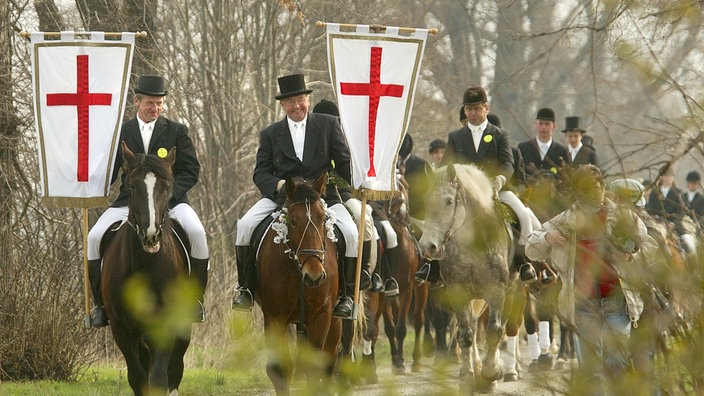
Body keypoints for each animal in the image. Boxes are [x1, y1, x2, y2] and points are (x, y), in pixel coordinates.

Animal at [99, 143, 192, 396]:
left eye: (166, 187)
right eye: (132, 186)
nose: (150, 235)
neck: (145, 265)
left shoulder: (165, 324)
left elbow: (160, 378)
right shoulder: (121, 328)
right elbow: (138, 378)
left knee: (175, 368)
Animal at [256, 172, 344, 394]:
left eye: (322, 219)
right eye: (294, 221)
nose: (314, 276)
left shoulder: (320, 315)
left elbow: (315, 367)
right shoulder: (275, 317)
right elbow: (280, 370)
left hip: (334, 319)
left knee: (329, 363)